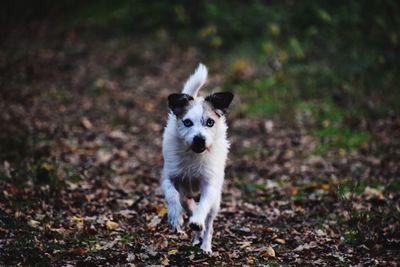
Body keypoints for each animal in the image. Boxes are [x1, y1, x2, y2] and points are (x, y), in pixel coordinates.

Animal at [160, 63, 233, 254]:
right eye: (187, 122)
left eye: (210, 122)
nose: (199, 139)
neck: (194, 155)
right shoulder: (168, 178)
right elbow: (171, 194)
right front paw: (175, 217)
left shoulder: (210, 186)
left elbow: (203, 206)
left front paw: (197, 222)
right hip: (186, 195)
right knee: (188, 204)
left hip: (216, 203)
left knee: (209, 224)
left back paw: (205, 245)